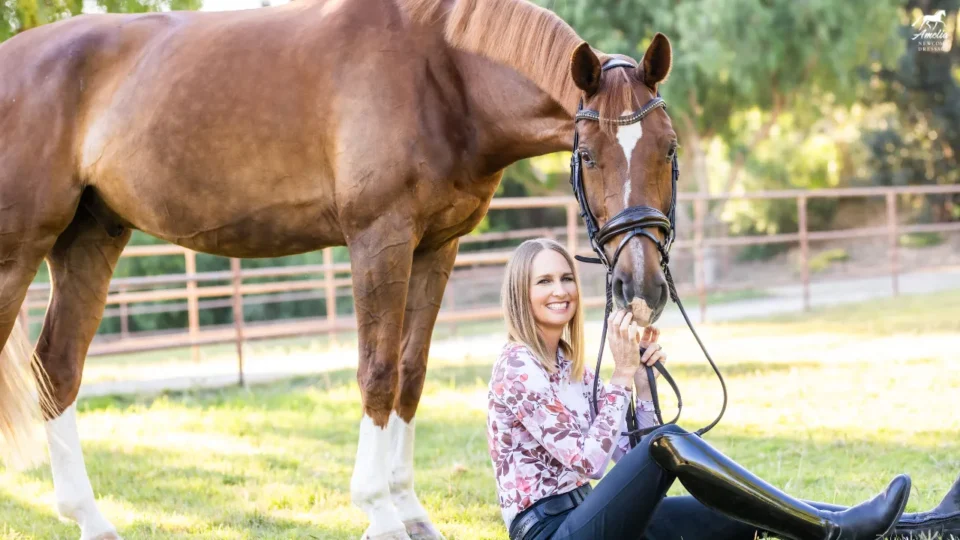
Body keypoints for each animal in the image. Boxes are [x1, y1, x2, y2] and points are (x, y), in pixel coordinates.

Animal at [0, 0, 678, 538]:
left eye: (668, 148)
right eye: (587, 156)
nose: (641, 286)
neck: (443, 74)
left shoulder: (435, 247)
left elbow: (409, 375)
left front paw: (410, 511)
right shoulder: (378, 239)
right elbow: (376, 373)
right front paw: (378, 512)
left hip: (90, 239)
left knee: (57, 371)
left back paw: (91, 519)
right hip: (18, 250)